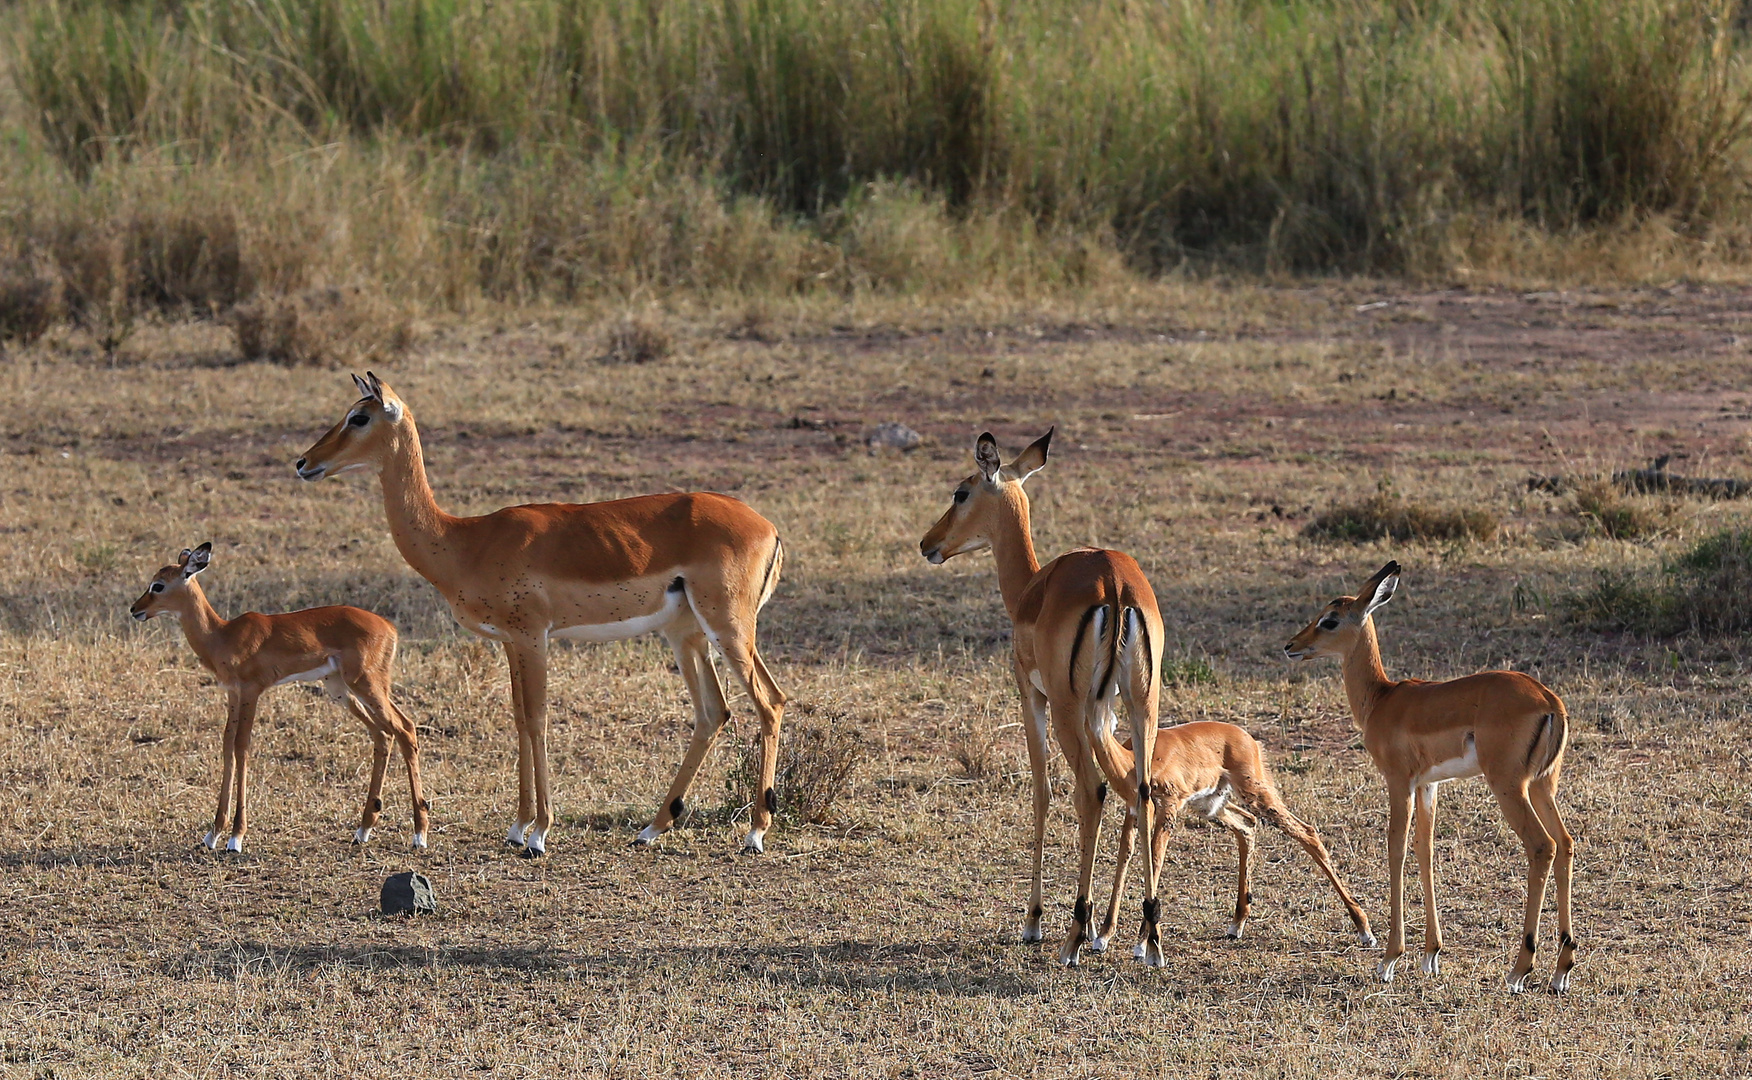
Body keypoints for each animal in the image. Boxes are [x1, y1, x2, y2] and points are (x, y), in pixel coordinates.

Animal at [128, 540, 427, 852]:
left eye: (158, 585)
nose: (134, 609)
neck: (222, 635)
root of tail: (390, 628)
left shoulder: (251, 691)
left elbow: (242, 746)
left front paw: (236, 837)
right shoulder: (232, 693)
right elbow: (227, 746)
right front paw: (213, 834)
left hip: (365, 684)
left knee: (405, 729)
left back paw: (419, 835)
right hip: (342, 689)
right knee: (384, 734)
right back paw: (363, 829)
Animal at [1289, 564, 1576, 995]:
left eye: (1330, 620)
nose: (1292, 645)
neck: (1382, 699)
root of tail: (1550, 701)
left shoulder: (1399, 782)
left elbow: (1396, 850)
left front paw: (1389, 959)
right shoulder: (1429, 785)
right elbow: (1425, 853)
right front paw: (1430, 955)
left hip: (1509, 787)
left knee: (1543, 846)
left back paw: (1519, 970)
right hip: (1542, 786)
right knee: (1567, 843)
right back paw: (1560, 971)